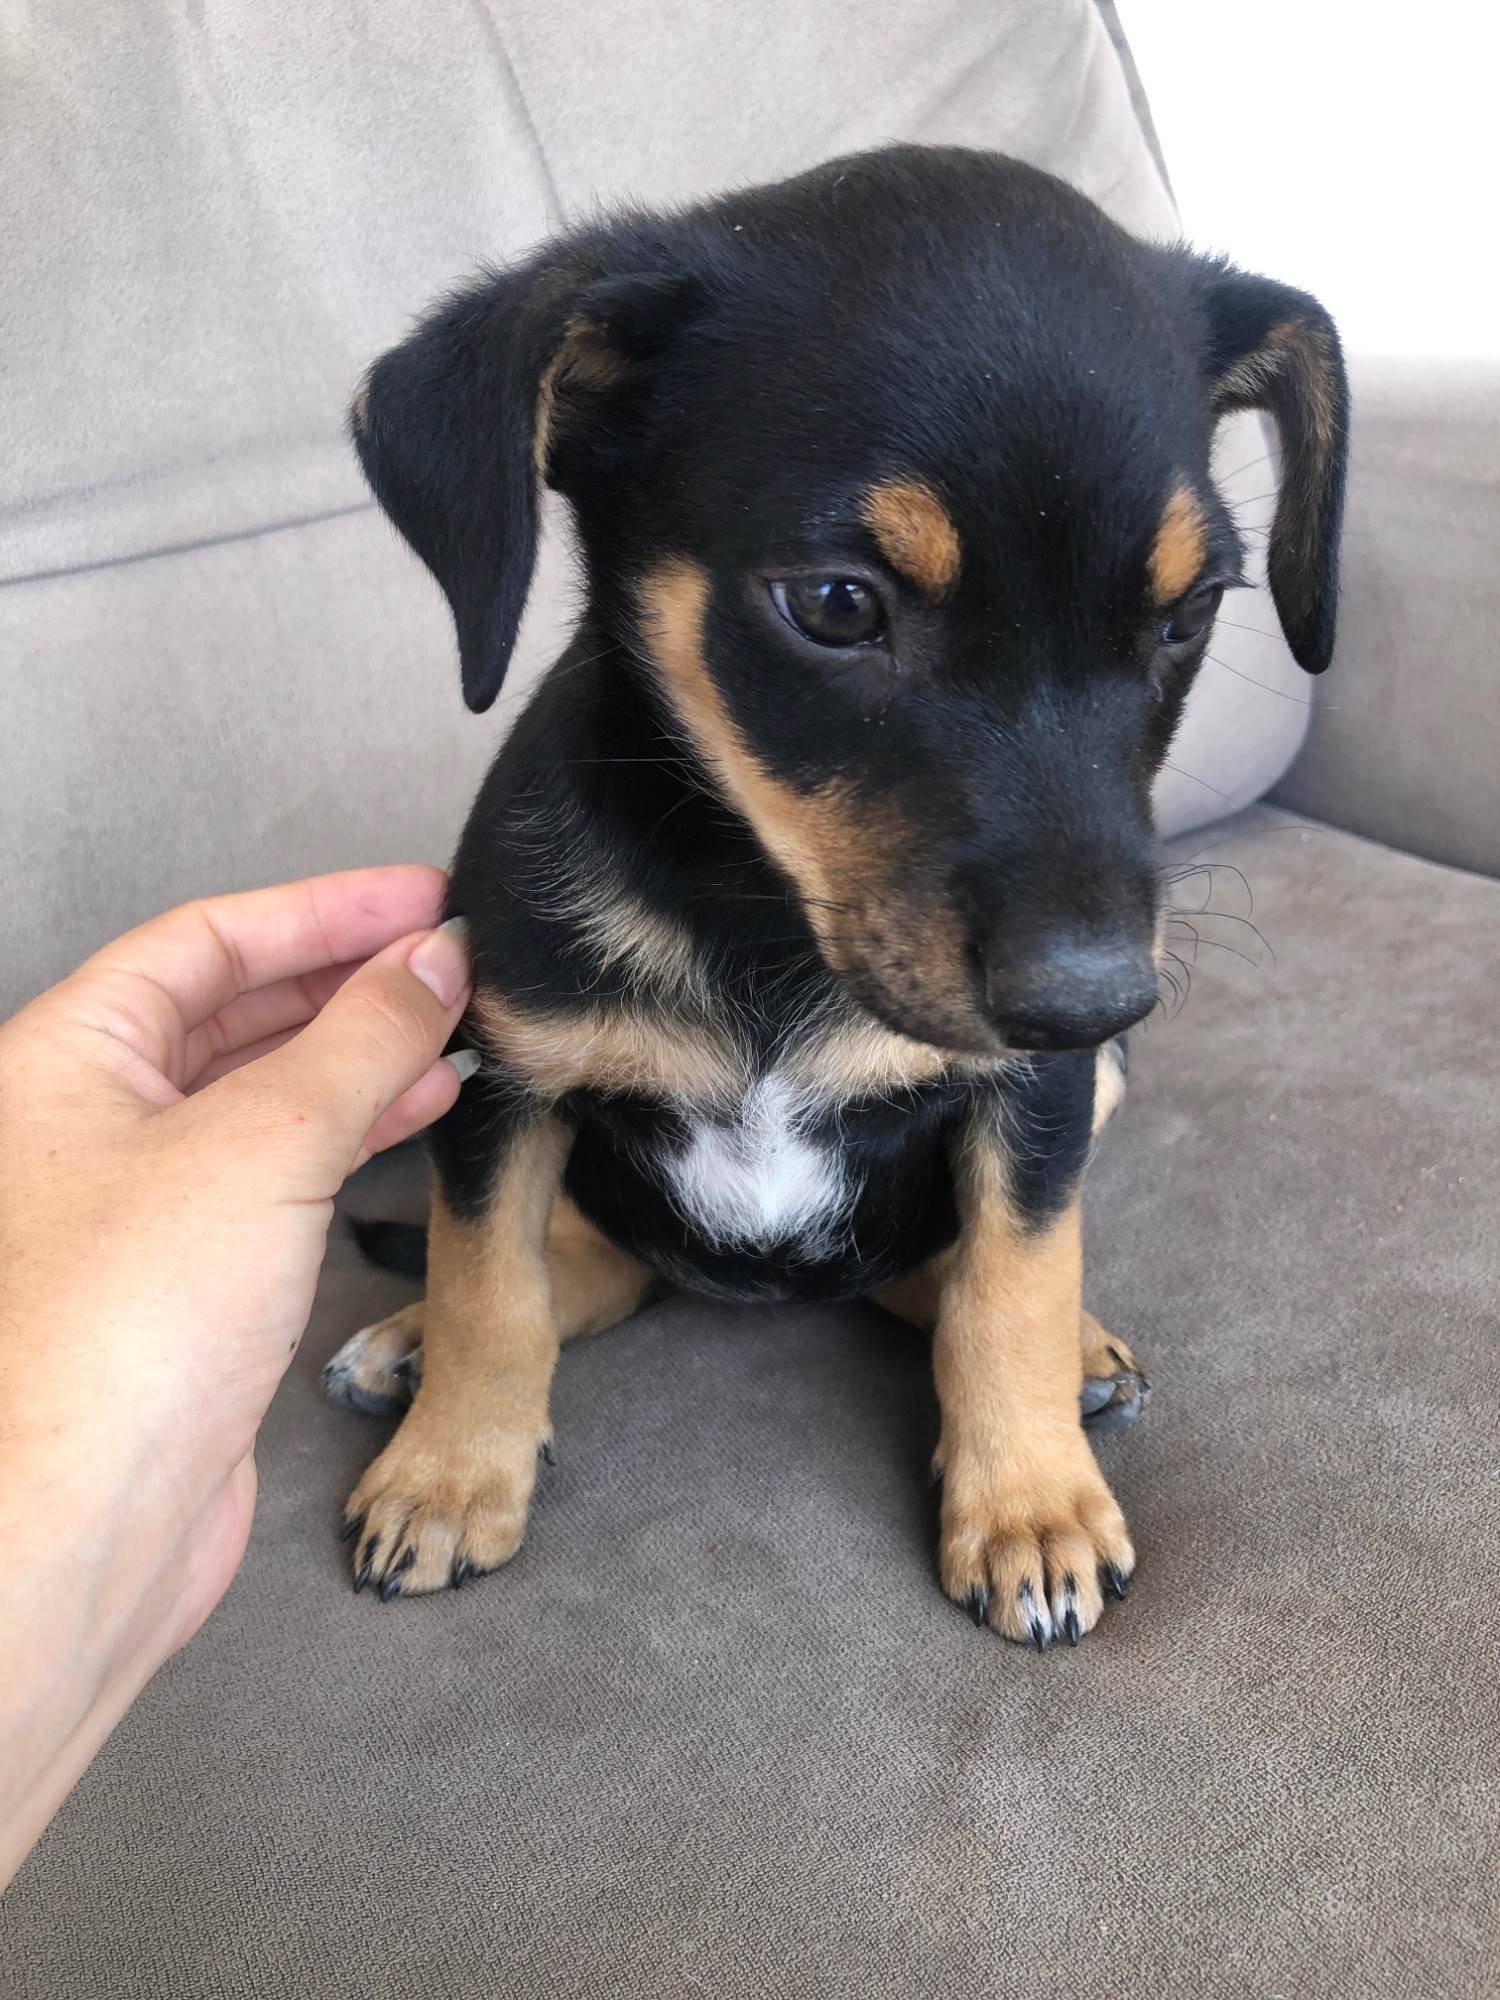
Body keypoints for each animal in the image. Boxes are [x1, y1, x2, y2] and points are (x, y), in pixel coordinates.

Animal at [323, 144, 1347, 1645]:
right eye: (836, 603)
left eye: (1194, 611)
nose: (1097, 1001)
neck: (764, 928)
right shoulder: (497, 1074)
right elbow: (488, 1282)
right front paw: (450, 1473)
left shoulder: (1037, 1098)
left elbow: (1011, 1279)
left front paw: (1029, 1500)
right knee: (589, 1260)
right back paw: (401, 1347)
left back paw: (1079, 1360)